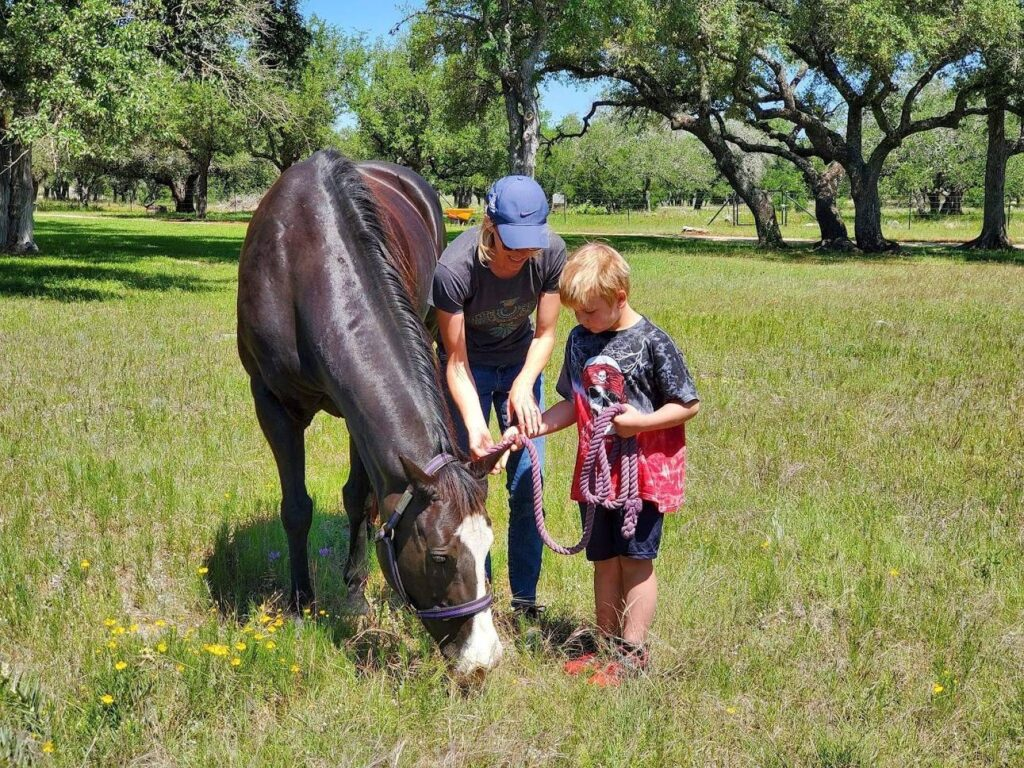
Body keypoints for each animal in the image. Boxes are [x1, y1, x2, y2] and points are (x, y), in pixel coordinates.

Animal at [236, 150, 504, 676]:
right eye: (439, 557)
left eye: (488, 546)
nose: (482, 659)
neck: (303, 263)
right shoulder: (271, 405)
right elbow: (296, 508)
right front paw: (301, 605)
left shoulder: (357, 415)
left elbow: (360, 499)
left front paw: (356, 591)